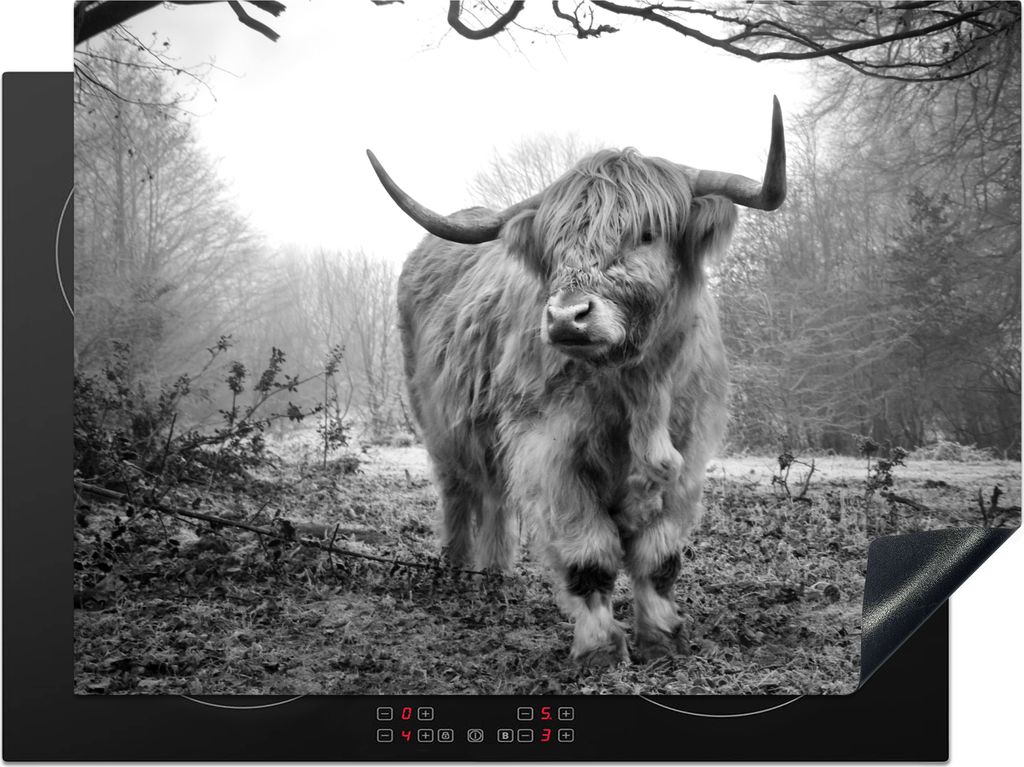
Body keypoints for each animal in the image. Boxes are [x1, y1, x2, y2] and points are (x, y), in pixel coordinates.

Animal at [366, 98, 785, 667]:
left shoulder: (689, 454)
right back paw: (457, 572)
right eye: (556, 243)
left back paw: (493, 576)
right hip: (438, 425)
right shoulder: (550, 453)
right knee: (459, 493)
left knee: (495, 497)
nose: (567, 317)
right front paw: (600, 650)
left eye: (647, 234)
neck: (639, 389)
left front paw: (662, 640)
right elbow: (590, 557)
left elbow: (659, 559)